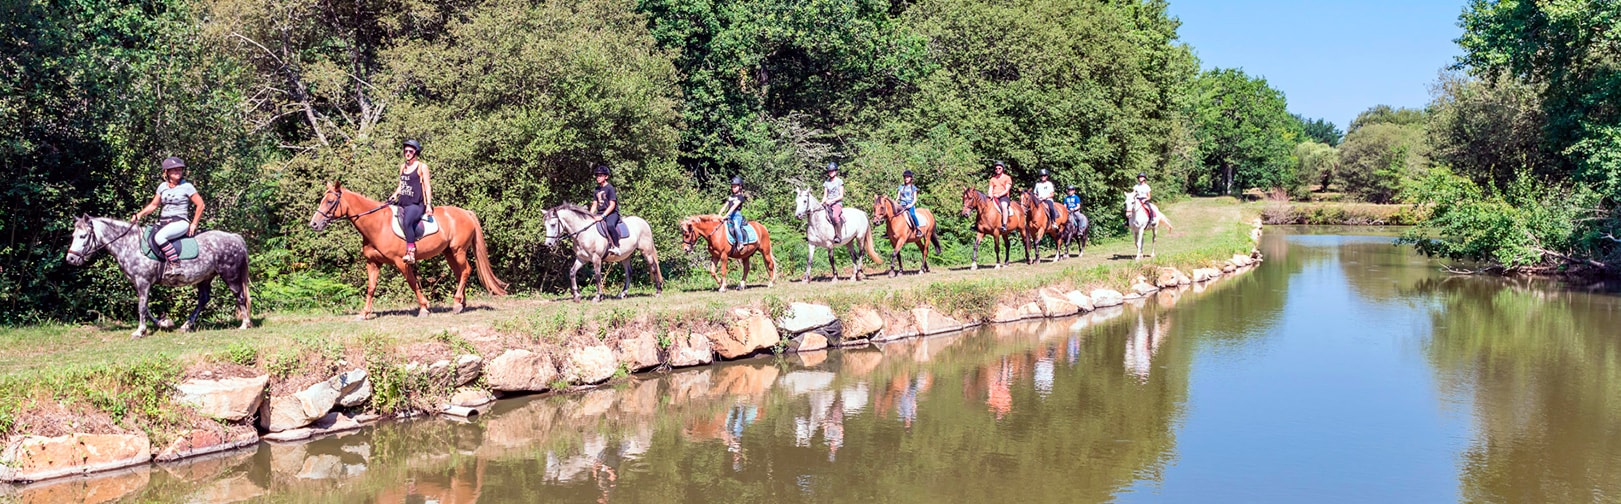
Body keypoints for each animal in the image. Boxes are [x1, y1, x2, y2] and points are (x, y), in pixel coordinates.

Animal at [66, 215, 251, 340]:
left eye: (83, 236)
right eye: (73, 236)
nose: (71, 259)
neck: (130, 245)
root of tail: (235, 238)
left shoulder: (143, 282)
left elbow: (141, 307)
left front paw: (140, 331)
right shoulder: (140, 283)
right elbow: (145, 307)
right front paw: (163, 323)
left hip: (230, 274)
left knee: (239, 296)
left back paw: (245, 324)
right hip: (205, 277)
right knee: (203, 299)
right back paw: (186, 325)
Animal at [306, 179, 502, 317]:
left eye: (330, 201)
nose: (314, 224)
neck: (377, 224)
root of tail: (465, 212)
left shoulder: (401, 261)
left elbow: (412, 283)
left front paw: (424, 307)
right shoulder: (373, 262)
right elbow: (371, 287)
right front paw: (364, 313)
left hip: (458, 250)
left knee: (466, 270)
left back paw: (456, 303)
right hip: (449, 253)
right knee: (460, 273)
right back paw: (461, 304)